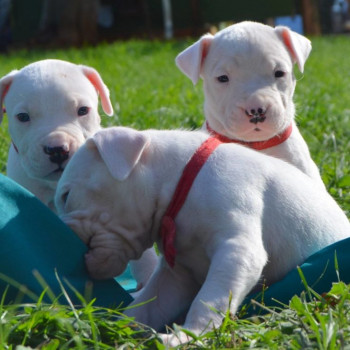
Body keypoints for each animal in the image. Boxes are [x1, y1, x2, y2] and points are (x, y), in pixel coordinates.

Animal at [54, 127, 350, 346]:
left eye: (66, 196)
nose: (64, 234)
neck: (180, 182)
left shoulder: (237, 250)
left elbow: (209, 299)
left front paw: (188, 335)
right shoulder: (177, 275)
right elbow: (149, 304)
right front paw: (114, 328)